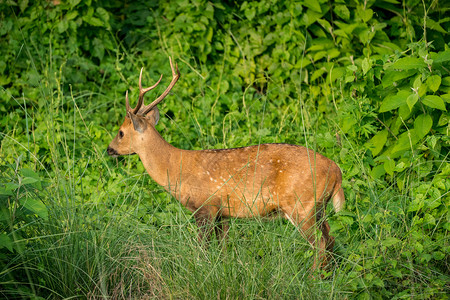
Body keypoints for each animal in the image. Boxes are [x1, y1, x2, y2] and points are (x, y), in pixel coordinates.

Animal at [106, 58, 344, 270]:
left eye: (121, 132)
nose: (109, 149)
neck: (175, 169)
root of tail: (336, 170)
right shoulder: (223, 213)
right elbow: (222, 249)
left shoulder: (205, 206)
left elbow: (202, 249)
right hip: (317, 206)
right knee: (331, 237)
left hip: (301, 205)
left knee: (320, 243)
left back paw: (313, 278)